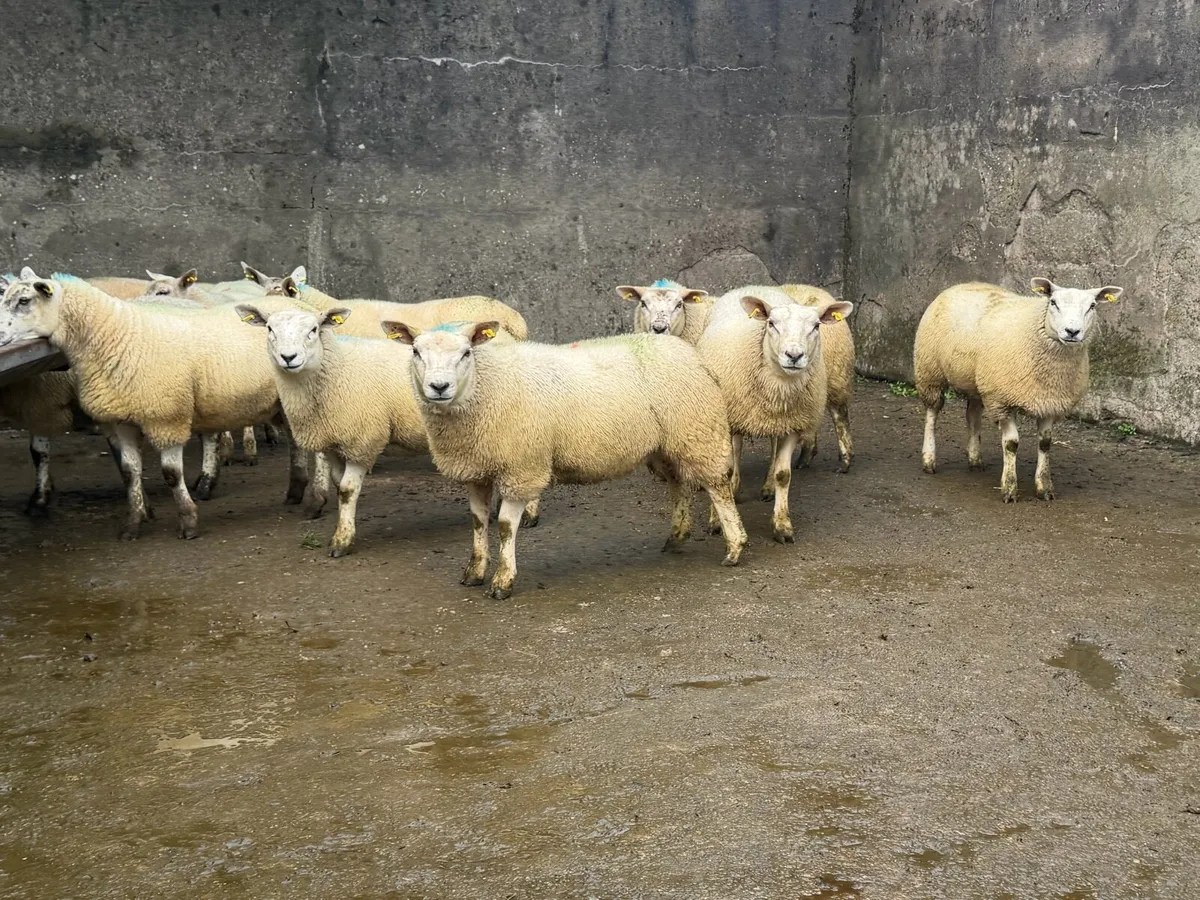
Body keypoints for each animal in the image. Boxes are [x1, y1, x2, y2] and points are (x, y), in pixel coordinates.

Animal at [0, 272, 309, 539]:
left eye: (24, 300)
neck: (116, 335)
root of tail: (288, 299)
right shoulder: (118, 420)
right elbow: (129, 471)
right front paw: (133, 523)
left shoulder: (166, 417)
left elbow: (171, 475)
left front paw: (188, 521)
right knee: (294, 440)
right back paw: (295, 489)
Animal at [383, 321, 748, 600]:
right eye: (415, 352)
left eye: (466, 353)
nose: (439, 387)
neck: (486, 386)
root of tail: (688, 351)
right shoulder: (476, 469)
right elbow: (477, 522)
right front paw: (474, 571)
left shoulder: (522, 467)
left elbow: (504, 527)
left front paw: (503, 581)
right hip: (665, 443)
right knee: (679, 483)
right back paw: (677, 536)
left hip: (697, 430)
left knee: (718, 486)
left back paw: (735, 547)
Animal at [696, 285, 853, 543]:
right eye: (771, 323)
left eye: (816, 326)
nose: (794, 355)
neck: (780, 387)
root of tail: (755, 287)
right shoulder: (727, 420)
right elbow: (723, 471)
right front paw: (716, 521)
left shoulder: (792, 424)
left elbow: (783, 474)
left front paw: (782, 525)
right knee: (737, 448)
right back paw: (735, 487)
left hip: (775, 420)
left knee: (771, 445)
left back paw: (767, 487)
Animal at [913, 277, 1123, 502]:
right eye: (1053, 302)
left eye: (1092, 306)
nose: (1072, 332)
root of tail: (963, 284)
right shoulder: (1002, 400)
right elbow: (1011, 444)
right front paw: (1009, 488)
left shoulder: (1050, 402)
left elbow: (1045, 443)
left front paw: (1044, 488)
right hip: (930, 371)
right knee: (932, 414)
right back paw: (929, 460)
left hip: (977, 381)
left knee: (973, 415)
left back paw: (975, 459)